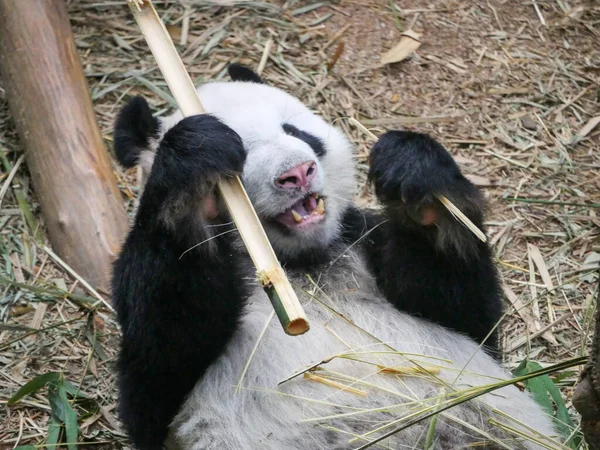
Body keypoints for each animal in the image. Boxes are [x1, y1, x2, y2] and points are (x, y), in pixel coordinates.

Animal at [111, 64, 556, 450]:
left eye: (295, 130)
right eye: (240, 154)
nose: (297, 172)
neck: (300, 263)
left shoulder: (358, 239)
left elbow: (468, 318)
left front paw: (415, 172)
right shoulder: (165, 391)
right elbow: (155, 369)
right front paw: (194, 167)